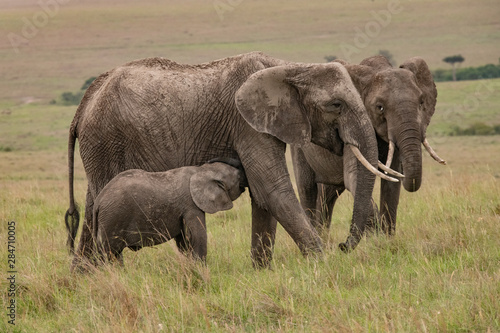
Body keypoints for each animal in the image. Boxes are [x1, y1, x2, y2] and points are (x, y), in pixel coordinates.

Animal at [93, 159, 247, 264]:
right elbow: (198, 236)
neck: (201, 170)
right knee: (110, 252)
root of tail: (98, 201)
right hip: (112, 218)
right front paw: (200, 268)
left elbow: (183, 241)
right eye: (238, 176)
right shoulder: (190, 204)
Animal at [290, 55, 446, 250]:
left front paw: (387, 240)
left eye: (421, 102)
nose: (342, 245)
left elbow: (391, 184)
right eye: (380, 107)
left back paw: (323, 237)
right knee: (307, 188)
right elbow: (354, 176)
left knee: (329, 193)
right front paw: (376, 241)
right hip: (298, 142)